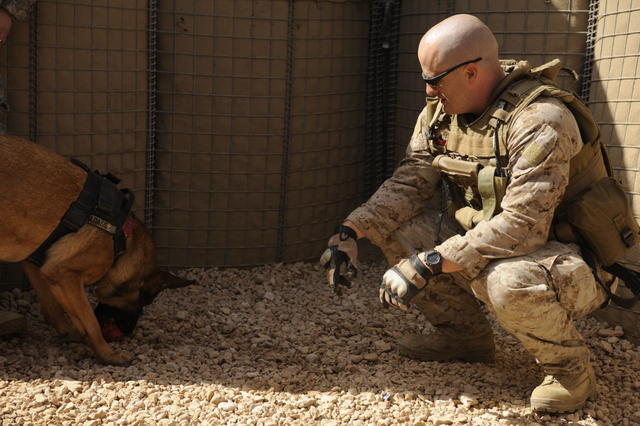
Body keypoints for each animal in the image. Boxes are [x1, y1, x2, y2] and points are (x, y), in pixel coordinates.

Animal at [1, 135, 194, 364]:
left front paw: (70, 333)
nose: (128, 331)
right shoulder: (65, 274)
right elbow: (90, 321)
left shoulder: (39, 265)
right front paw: (107, 353)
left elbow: (53, 306)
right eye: (142, 301)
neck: (122, 240)